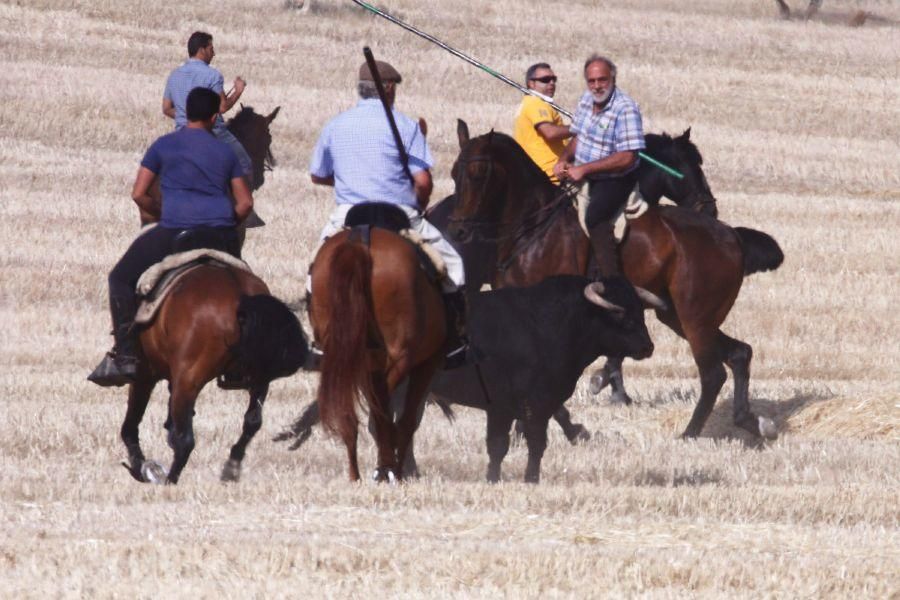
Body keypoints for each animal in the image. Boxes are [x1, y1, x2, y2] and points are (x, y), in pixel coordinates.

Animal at [121, 264, 308, 486]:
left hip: (187, 380)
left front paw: (140, 465)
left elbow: (132, 421)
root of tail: (240, 293)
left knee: (185, 439)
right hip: (259, 380)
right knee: (252, 422)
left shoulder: (146, 373)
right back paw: (231, 468)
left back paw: (170, 480)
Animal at [312, 225, 448, 482]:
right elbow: (406, 419)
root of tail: (358, 241)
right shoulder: (428, 362)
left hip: (344, 357)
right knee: (384, 411)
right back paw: (388, 468)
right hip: (399, 358)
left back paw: (357, 474)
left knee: (353, 412)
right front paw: (398, 469)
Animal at [440, 123, 784, 440]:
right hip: (678, 316)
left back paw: (691, 432)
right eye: (457, 172)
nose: (458, 231)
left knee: (713, 373)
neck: (535, 228)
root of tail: (730, 236)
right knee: (739, 354)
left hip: (694, 317)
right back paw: (748, 421)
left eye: (477, 173)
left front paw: (569, 424)